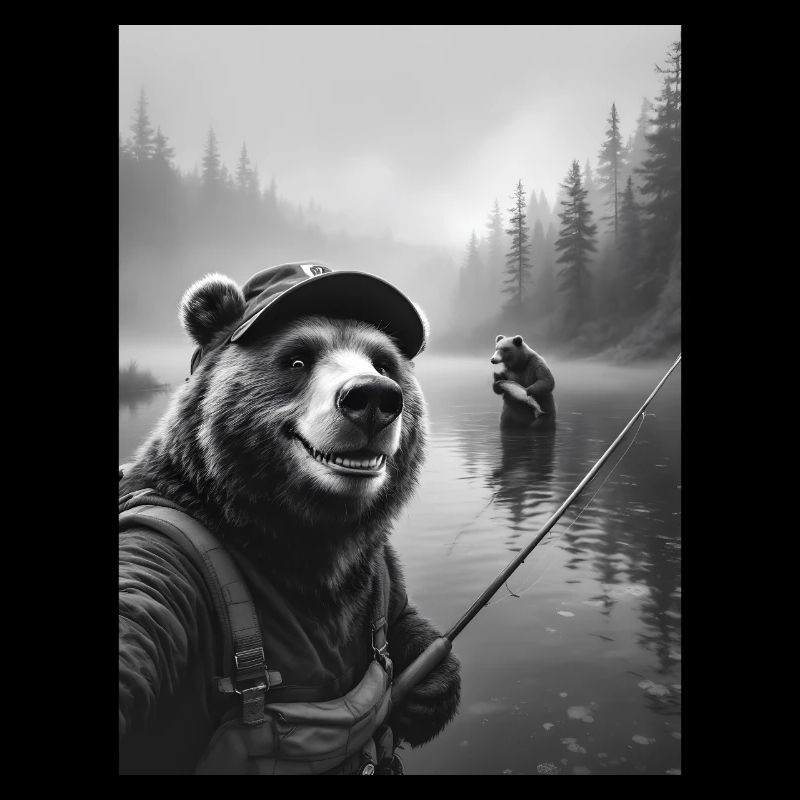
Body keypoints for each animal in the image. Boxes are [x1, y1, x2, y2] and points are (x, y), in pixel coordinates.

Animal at [118, 265, 461, 774]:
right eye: (297, 359)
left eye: (383, 363)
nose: (373, 396)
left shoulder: (373, 562)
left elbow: (399, 612)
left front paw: (431, 686)